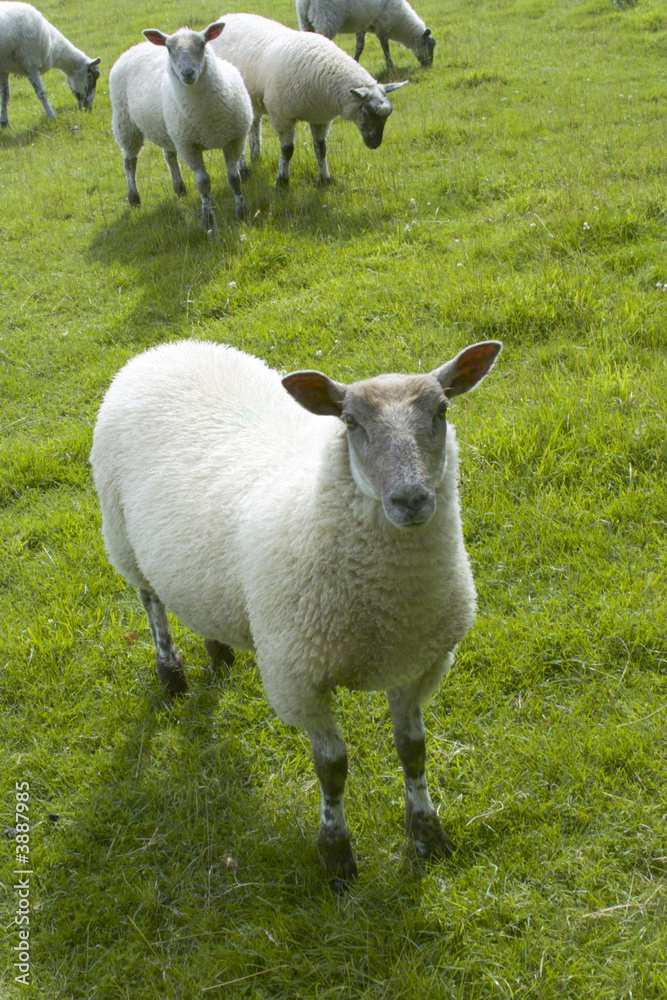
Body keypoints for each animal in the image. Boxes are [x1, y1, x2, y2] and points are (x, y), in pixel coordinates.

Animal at [90, 338, 502, 883]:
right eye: (350, 422)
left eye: (442, 410)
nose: (411, 499)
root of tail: (169, 348)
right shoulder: (299, 679)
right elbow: (332, 768)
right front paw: (336, 854)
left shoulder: (417, 663)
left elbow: (413, 751)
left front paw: (428, 834)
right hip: (122, 539)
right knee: (151, 601)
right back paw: (170, 672)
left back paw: (218, 650)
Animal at [108, 22, 253, 227]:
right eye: (169, 48)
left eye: (202, 44)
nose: (188, 73)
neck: (209, 120)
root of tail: (135, 47)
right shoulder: (189, 147)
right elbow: (203, 183)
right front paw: (208, 220)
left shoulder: (234, 140)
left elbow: (234, 179)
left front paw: (242, 212)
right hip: (126, 123)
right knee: (129, 162)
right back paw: (134, 198)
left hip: (169, 130)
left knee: (169, 156)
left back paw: (180, 188)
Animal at [209, 13, 406, 187]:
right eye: (366, 111)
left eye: (387, 116)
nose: (375, 144)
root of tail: (226, 17)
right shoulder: (281, 117)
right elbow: (287, 151)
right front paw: (282, 182)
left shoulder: (320, 118)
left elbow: (321, 148)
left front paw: (324, 179)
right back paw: (243, 169)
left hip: (253, 99)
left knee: (254, 124)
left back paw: (256, 156)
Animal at [296, 0, 436, 73]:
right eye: (429, 46)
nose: (429, 66)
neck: (400, 22)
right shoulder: (382, 24)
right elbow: (385, 47)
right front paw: (390, 67)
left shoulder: (362, 26)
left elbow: (360, 47)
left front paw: (355, 63)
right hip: (325, 20)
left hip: (305, 21)